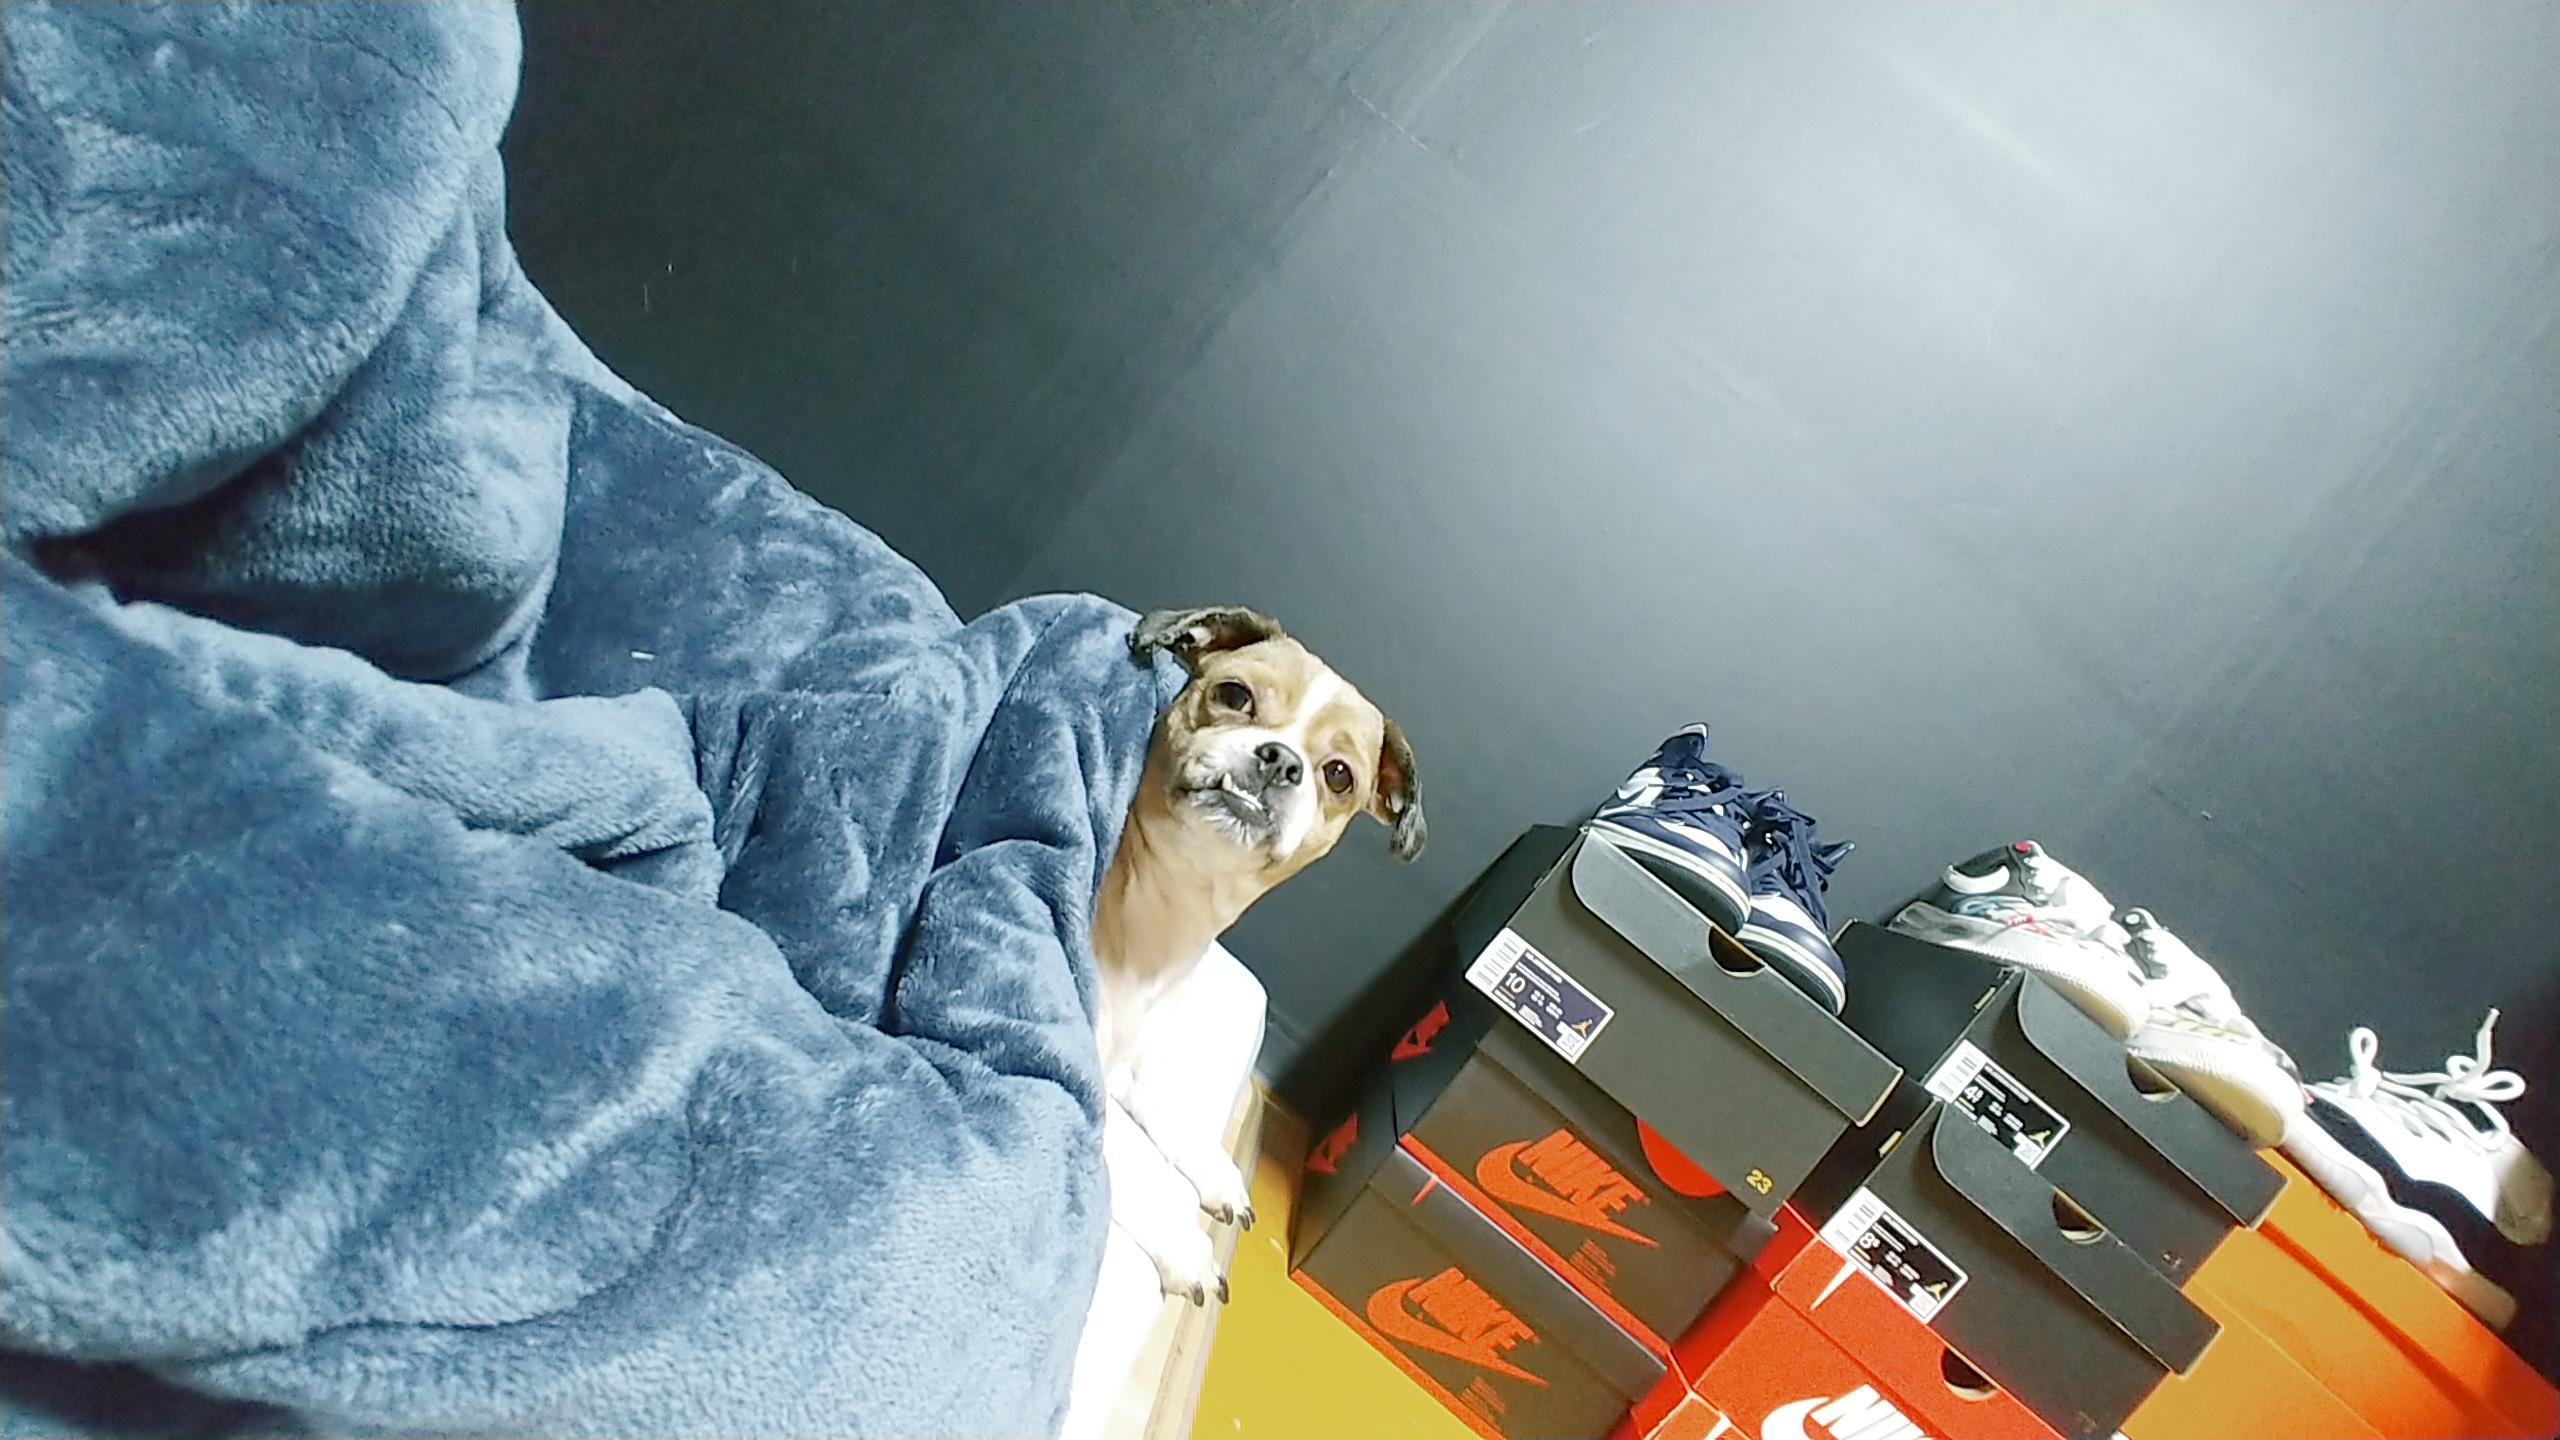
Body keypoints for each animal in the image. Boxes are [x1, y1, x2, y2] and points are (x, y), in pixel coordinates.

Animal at [1093, 606, 1423, 1303]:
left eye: (1338, 775)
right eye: (1233, 695)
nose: (1279, 760)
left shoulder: (1133, 1056)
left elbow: (1167, 1103)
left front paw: (1213, 1171)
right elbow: (1121, 1150)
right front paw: (1183, 1245)